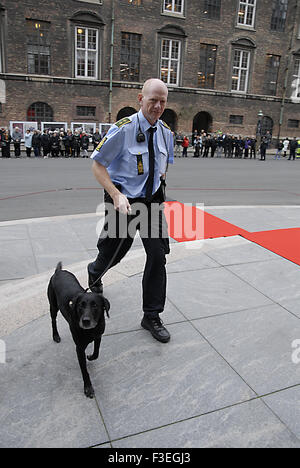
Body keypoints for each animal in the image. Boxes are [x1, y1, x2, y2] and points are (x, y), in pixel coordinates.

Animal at [47, 264, 110, 398]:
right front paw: (88, 388)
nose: (85, 321)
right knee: (53, 320)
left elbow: (96, 353)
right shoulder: (79, 348)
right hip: (53, 305)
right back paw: (56, 335)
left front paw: (90, 357)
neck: (90, 331)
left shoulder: (98, 336)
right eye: (81, 305)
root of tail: (59, 271)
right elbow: (84, 370)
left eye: (95, 305)